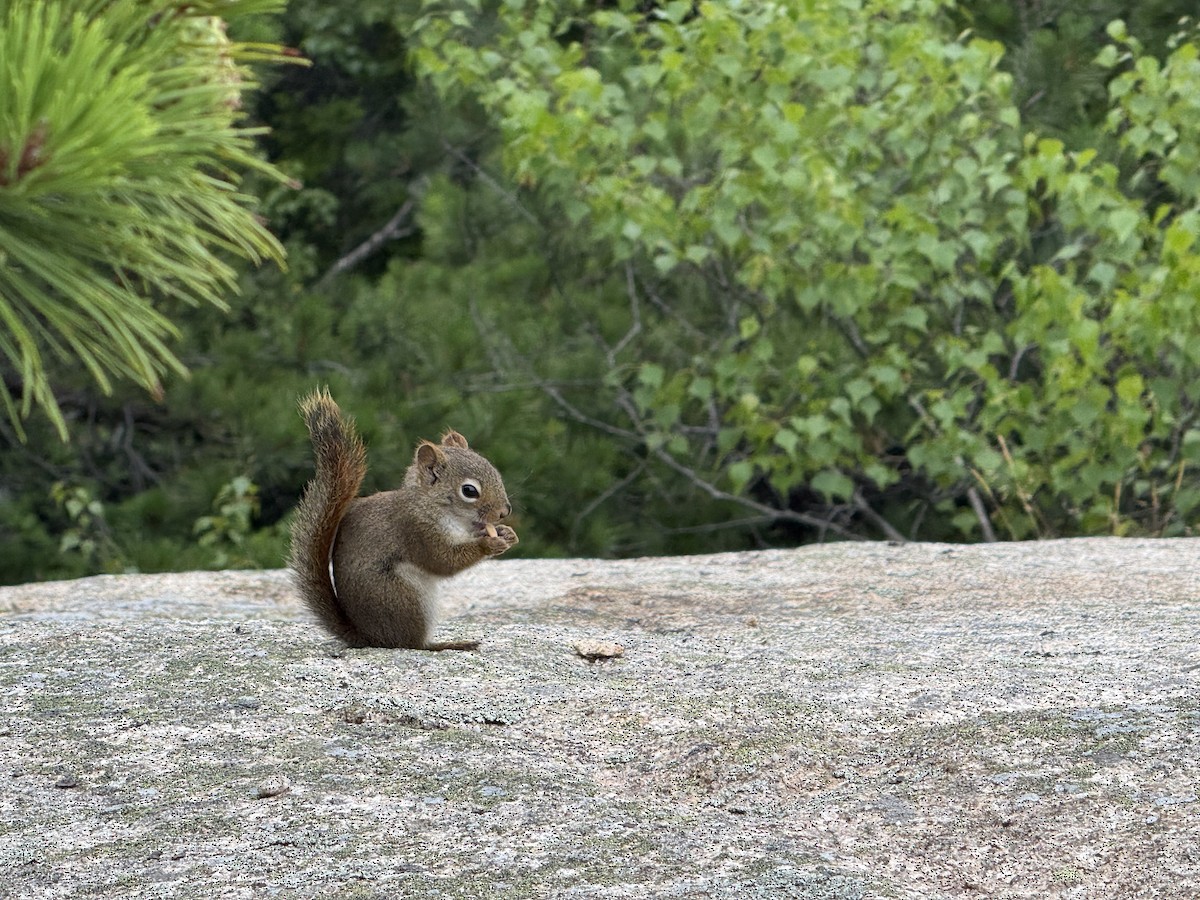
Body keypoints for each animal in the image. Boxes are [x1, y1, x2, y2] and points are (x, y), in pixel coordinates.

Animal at [288, 388, 518, 650]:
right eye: (469, 491)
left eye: (494, 472)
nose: (504, 511)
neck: (433, 507)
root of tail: (370, 637)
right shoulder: (415, 531)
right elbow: (443, 561)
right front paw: (488, 543)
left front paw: (507, 534)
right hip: (404, 598)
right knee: (412, 643)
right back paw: (447, 644)